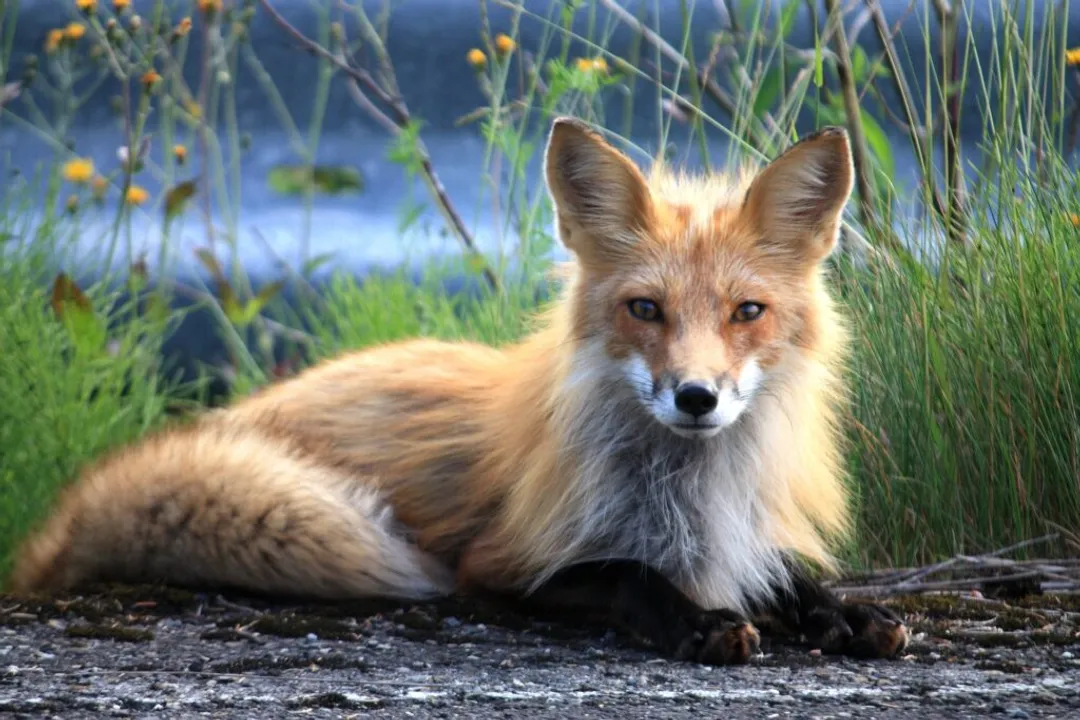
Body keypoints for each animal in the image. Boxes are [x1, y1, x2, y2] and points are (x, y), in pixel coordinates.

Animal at [9, 116, 908, 665]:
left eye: (746, 312)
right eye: (646, 310)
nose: (696, 397)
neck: (687, 493)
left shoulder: (743, 531)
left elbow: (785, 572)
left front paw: (845, 611)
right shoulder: (503, 564)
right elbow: (629, 573)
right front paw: (701, 620)